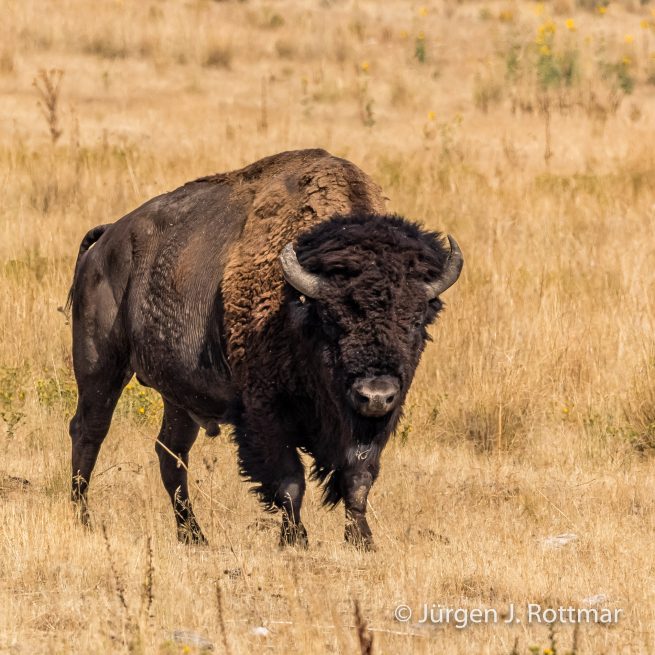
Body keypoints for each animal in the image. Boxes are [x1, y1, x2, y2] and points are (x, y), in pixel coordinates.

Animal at [67, 149, 462, 549]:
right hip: (100, 366)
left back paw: (194, 536)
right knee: (89, 430)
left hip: (178, 396)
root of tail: (106, 240)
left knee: (171, 453)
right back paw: (83, 519)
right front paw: (295, 540)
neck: (297, 304)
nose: (376, 394)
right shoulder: (265, 411)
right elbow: (289, 481)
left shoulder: (371, 425)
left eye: (416, 320)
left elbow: (358, 477)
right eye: (332, 319)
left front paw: (362, 541)